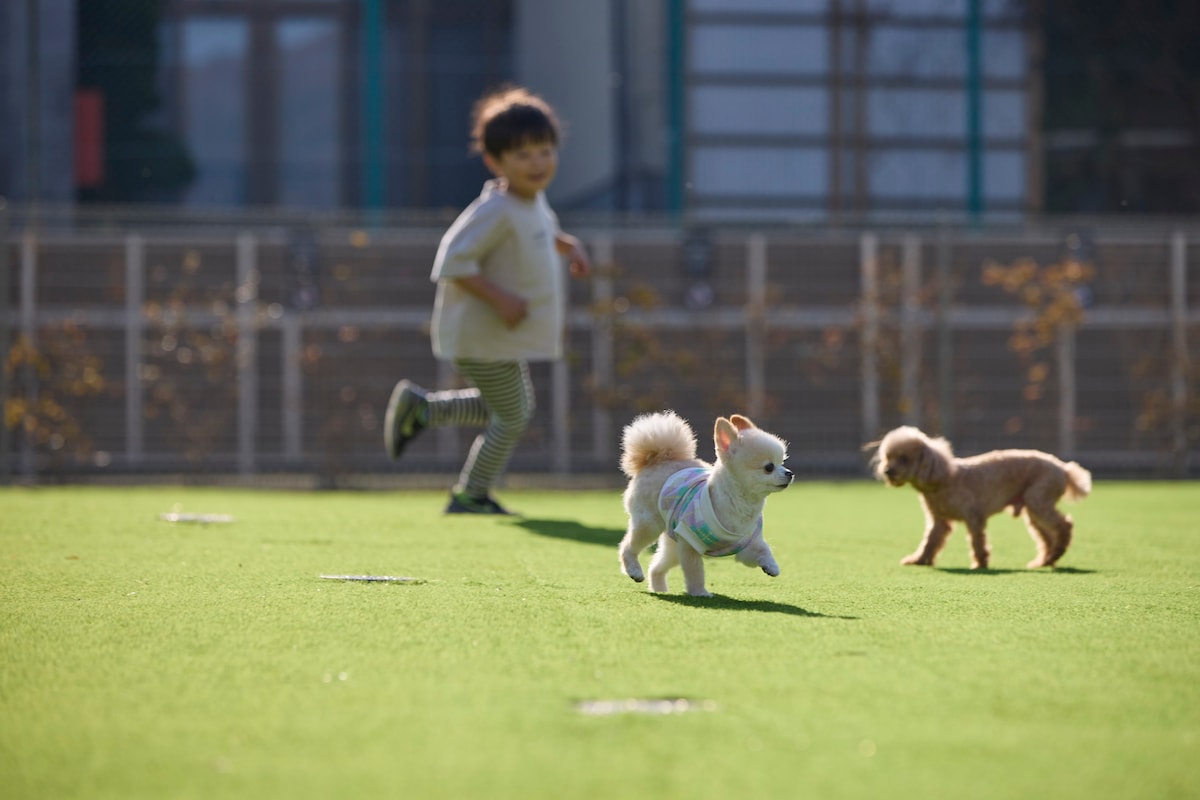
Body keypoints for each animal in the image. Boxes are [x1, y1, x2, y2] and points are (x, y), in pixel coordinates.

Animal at [619, 412, 796, 594]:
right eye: (769, 467)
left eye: (782, 462)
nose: (789, 473)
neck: (739, 503)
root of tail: (657, 459)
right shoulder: (689, 542)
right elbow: (695, 570)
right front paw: (699, 592)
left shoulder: (746, 544)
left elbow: (763, 548)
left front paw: (771, 565)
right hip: (650, 525)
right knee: (627, 546)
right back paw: (634, 570)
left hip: (673, 543)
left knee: (656, 566)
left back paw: (659, 589)